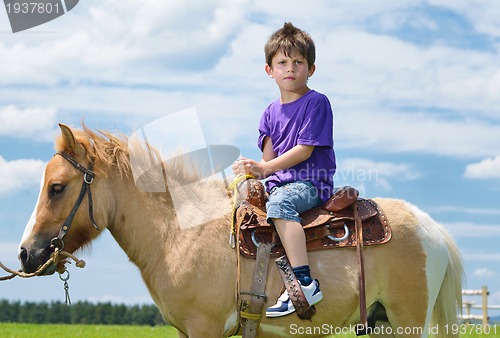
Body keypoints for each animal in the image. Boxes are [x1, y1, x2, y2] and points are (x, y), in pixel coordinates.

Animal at [17, 125, 462, 338]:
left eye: (57, 187)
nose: (24, 254)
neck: (178, 233)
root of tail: (432, 228)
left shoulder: (205, 328)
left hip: (407, 322)